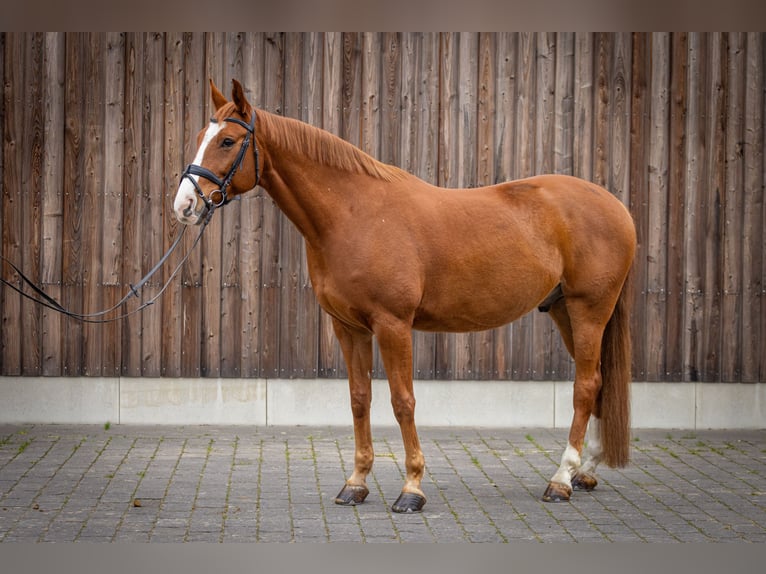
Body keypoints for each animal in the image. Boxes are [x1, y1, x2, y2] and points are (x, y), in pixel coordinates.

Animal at [172, 79, 636, 516]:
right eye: (199, 135)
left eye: (228, 141)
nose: (184, 205)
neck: (353, 214)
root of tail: (616, 206)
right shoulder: (348, 327)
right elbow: (359, 400)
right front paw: (356, 483)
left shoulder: (392, 324)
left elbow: (402, 401)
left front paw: (411, 489)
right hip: (562, 310)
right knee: (596, 383)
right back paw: (584, 473)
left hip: (589, 309)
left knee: (585, 385)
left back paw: (561, 479)